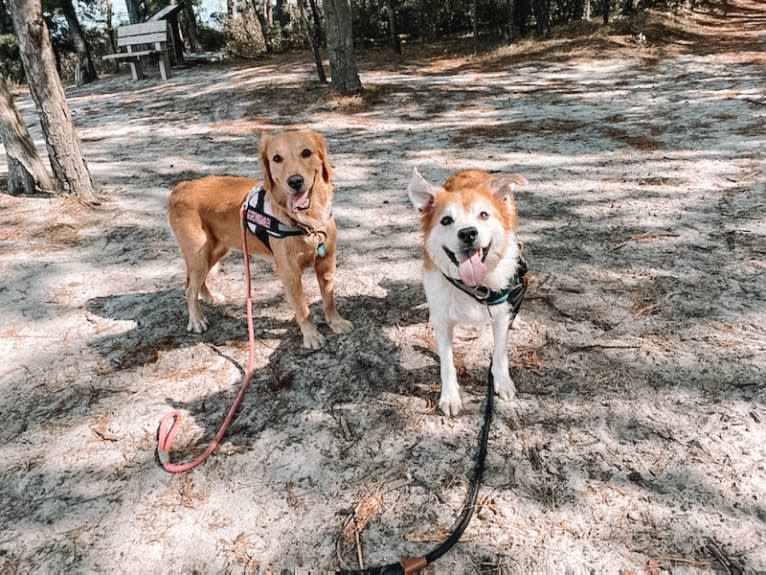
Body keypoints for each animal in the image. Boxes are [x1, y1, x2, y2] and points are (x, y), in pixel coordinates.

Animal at [168, 128, 354, 348]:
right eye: (277, 158)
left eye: (306, 153)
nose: (295, 181)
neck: (307, 222)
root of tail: (181, 187)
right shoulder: (289, 273)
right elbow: (303, 309)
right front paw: (311, 336)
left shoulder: (326, 264)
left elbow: (329, 299)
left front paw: (336, 322)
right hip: (198, 255)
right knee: (189, 289)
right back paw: (197, 320)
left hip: (214, 251)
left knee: (195, 282)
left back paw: (210, 297)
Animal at [408, 166, 528, 414]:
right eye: (446, 220)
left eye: (483, 214)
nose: (468, 233)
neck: (473, 286)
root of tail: (470, 169)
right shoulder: (443, 322)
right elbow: (447, 363)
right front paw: (450, 396)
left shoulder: (500, 316)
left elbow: (500, 353)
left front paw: (502, 382)